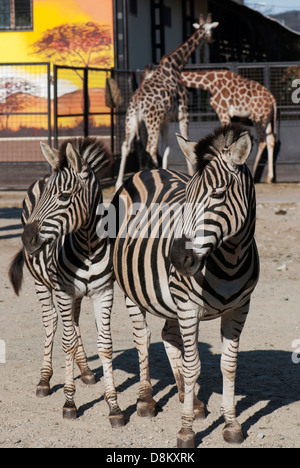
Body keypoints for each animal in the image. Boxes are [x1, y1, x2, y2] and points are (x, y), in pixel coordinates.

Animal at [8, 136, 124, 428]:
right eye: (45, 196)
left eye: (63, 196)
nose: (26, 240)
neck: (88, 246)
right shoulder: (63, 291)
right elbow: (67, 343)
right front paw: (69, 402)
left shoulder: (104, 293)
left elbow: (105, 345)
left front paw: (114, 406)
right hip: (42, 284)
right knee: (52, 322)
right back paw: (45, 379)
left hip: (77, 294)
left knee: (74, 321)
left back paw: (85, 370)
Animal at [112, 123, 260, 446]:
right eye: (187, 196)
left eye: (219, 194)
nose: (178, 258)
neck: (229, 260)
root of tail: (150, 169)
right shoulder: (189, 308)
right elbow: (194, 366)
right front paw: (186, 430)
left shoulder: (240, 309)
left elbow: (229, 366)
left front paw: (231, 424)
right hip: (133, 291)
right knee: (143, 338)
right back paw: (146, 400)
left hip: (170, 299)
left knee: (168, 336)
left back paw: (189, 399)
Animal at [115, 15, 218, 190]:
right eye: (211, 30)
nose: (212, 41)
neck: (177, 65)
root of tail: (137, 102)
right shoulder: (183, 113)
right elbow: (185, 140)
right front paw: (191, 173)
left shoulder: (166, 120)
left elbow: (166, 148)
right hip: (152, 121)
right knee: (150, 147)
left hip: (132, 121)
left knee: (125, 146)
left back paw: (118, 183)